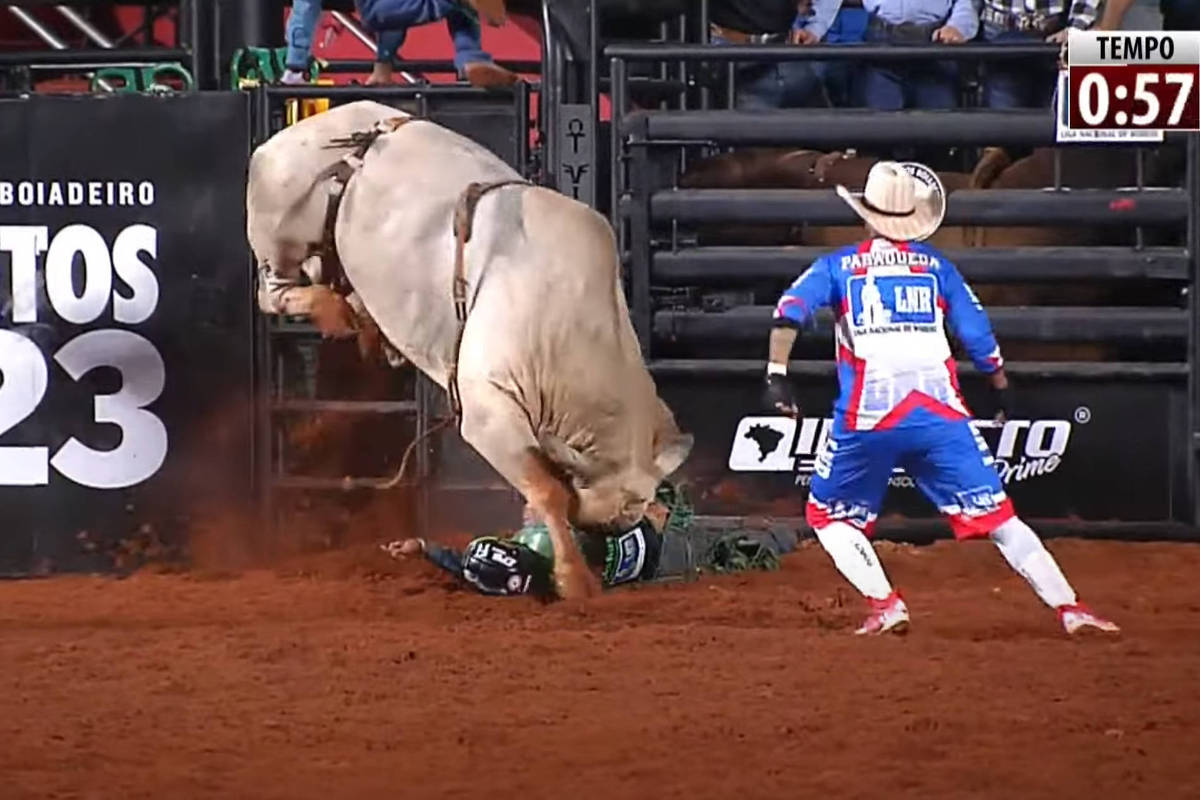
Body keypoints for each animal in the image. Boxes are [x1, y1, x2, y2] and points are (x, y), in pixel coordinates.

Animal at [246, 100, 696, 597]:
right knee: (273, 292)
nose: (601, 550)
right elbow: (547, 489)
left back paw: (366, 325)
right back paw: (332, 312)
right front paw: (575, 579)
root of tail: (294, 132)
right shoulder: (488, 414)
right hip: (279, 234)